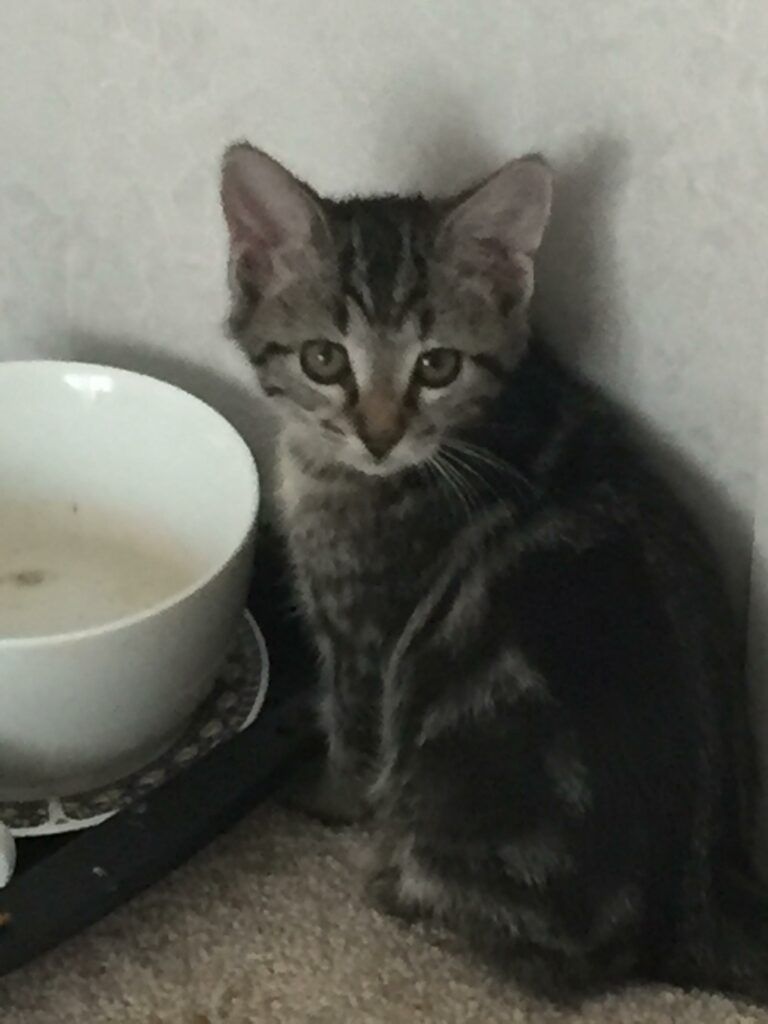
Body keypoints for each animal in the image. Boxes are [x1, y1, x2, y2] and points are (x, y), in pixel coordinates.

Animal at [219, 140, 765, 1003]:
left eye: (437, 365)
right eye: (323, 358)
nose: (379, 435)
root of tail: (704, 897)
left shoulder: (367, 635)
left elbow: (355, 738)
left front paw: (326, 802)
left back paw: (399, 887)